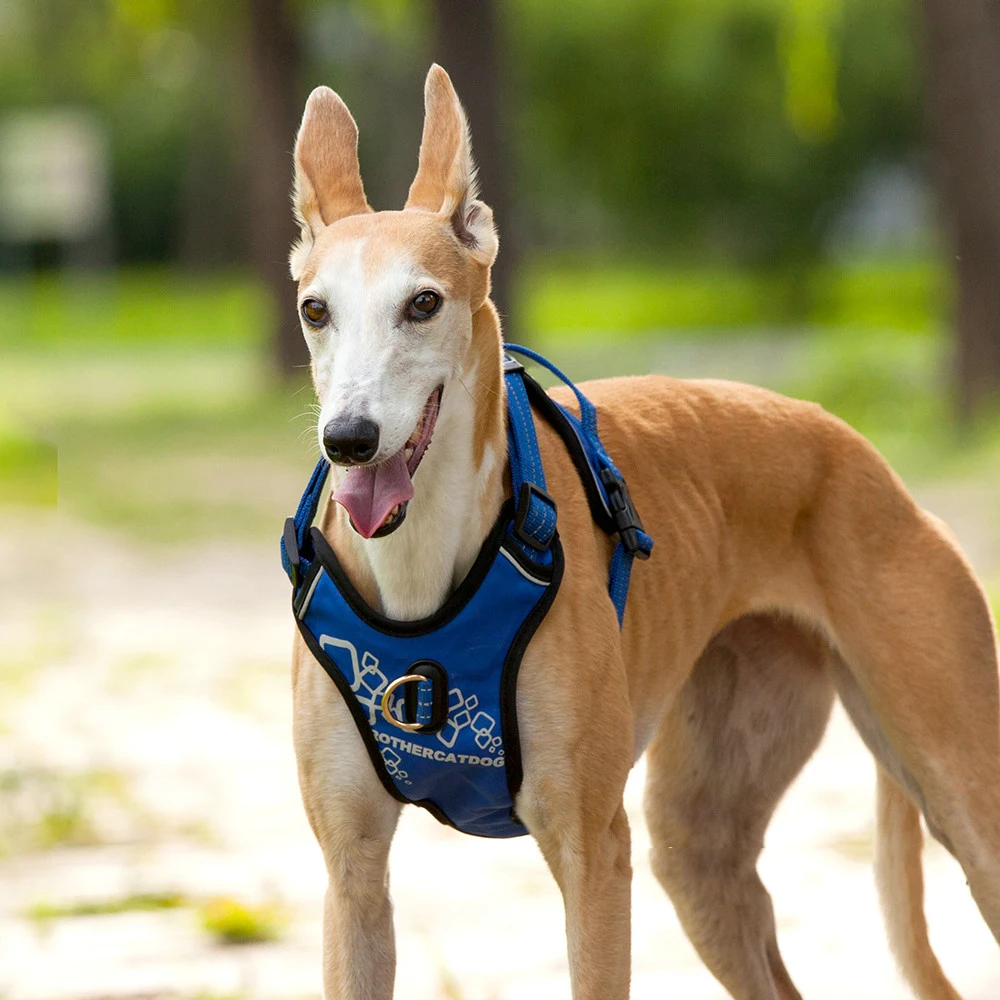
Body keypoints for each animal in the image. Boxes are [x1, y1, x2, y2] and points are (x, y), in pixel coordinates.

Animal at [284, 66, 1000, 996]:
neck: (419, 575)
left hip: (961, 797)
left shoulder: (593, 853)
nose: (349, 438)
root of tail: (873, 466)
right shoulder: (353, 873)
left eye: (424, 303)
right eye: (315, 310)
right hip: (701, 844)